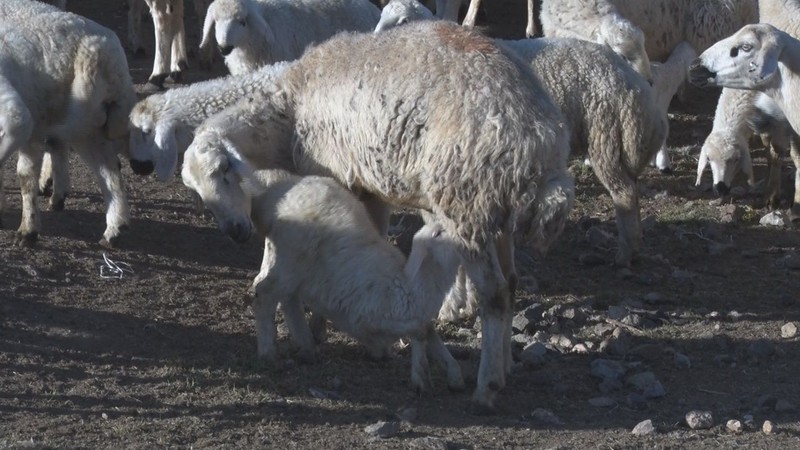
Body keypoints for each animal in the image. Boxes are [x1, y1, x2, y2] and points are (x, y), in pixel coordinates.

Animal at [180, 23, 576, 412]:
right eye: (195, 191)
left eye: (224, 169)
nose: (234, 231)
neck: (287, 111)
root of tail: (541, 141)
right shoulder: (371, 184)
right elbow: (375, 237)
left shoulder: (340, 175)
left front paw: (320, 326)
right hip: (496, 208)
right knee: (511, 283)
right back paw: (505, 365)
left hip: (468, 201)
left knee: (493, 294)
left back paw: (487, 387)